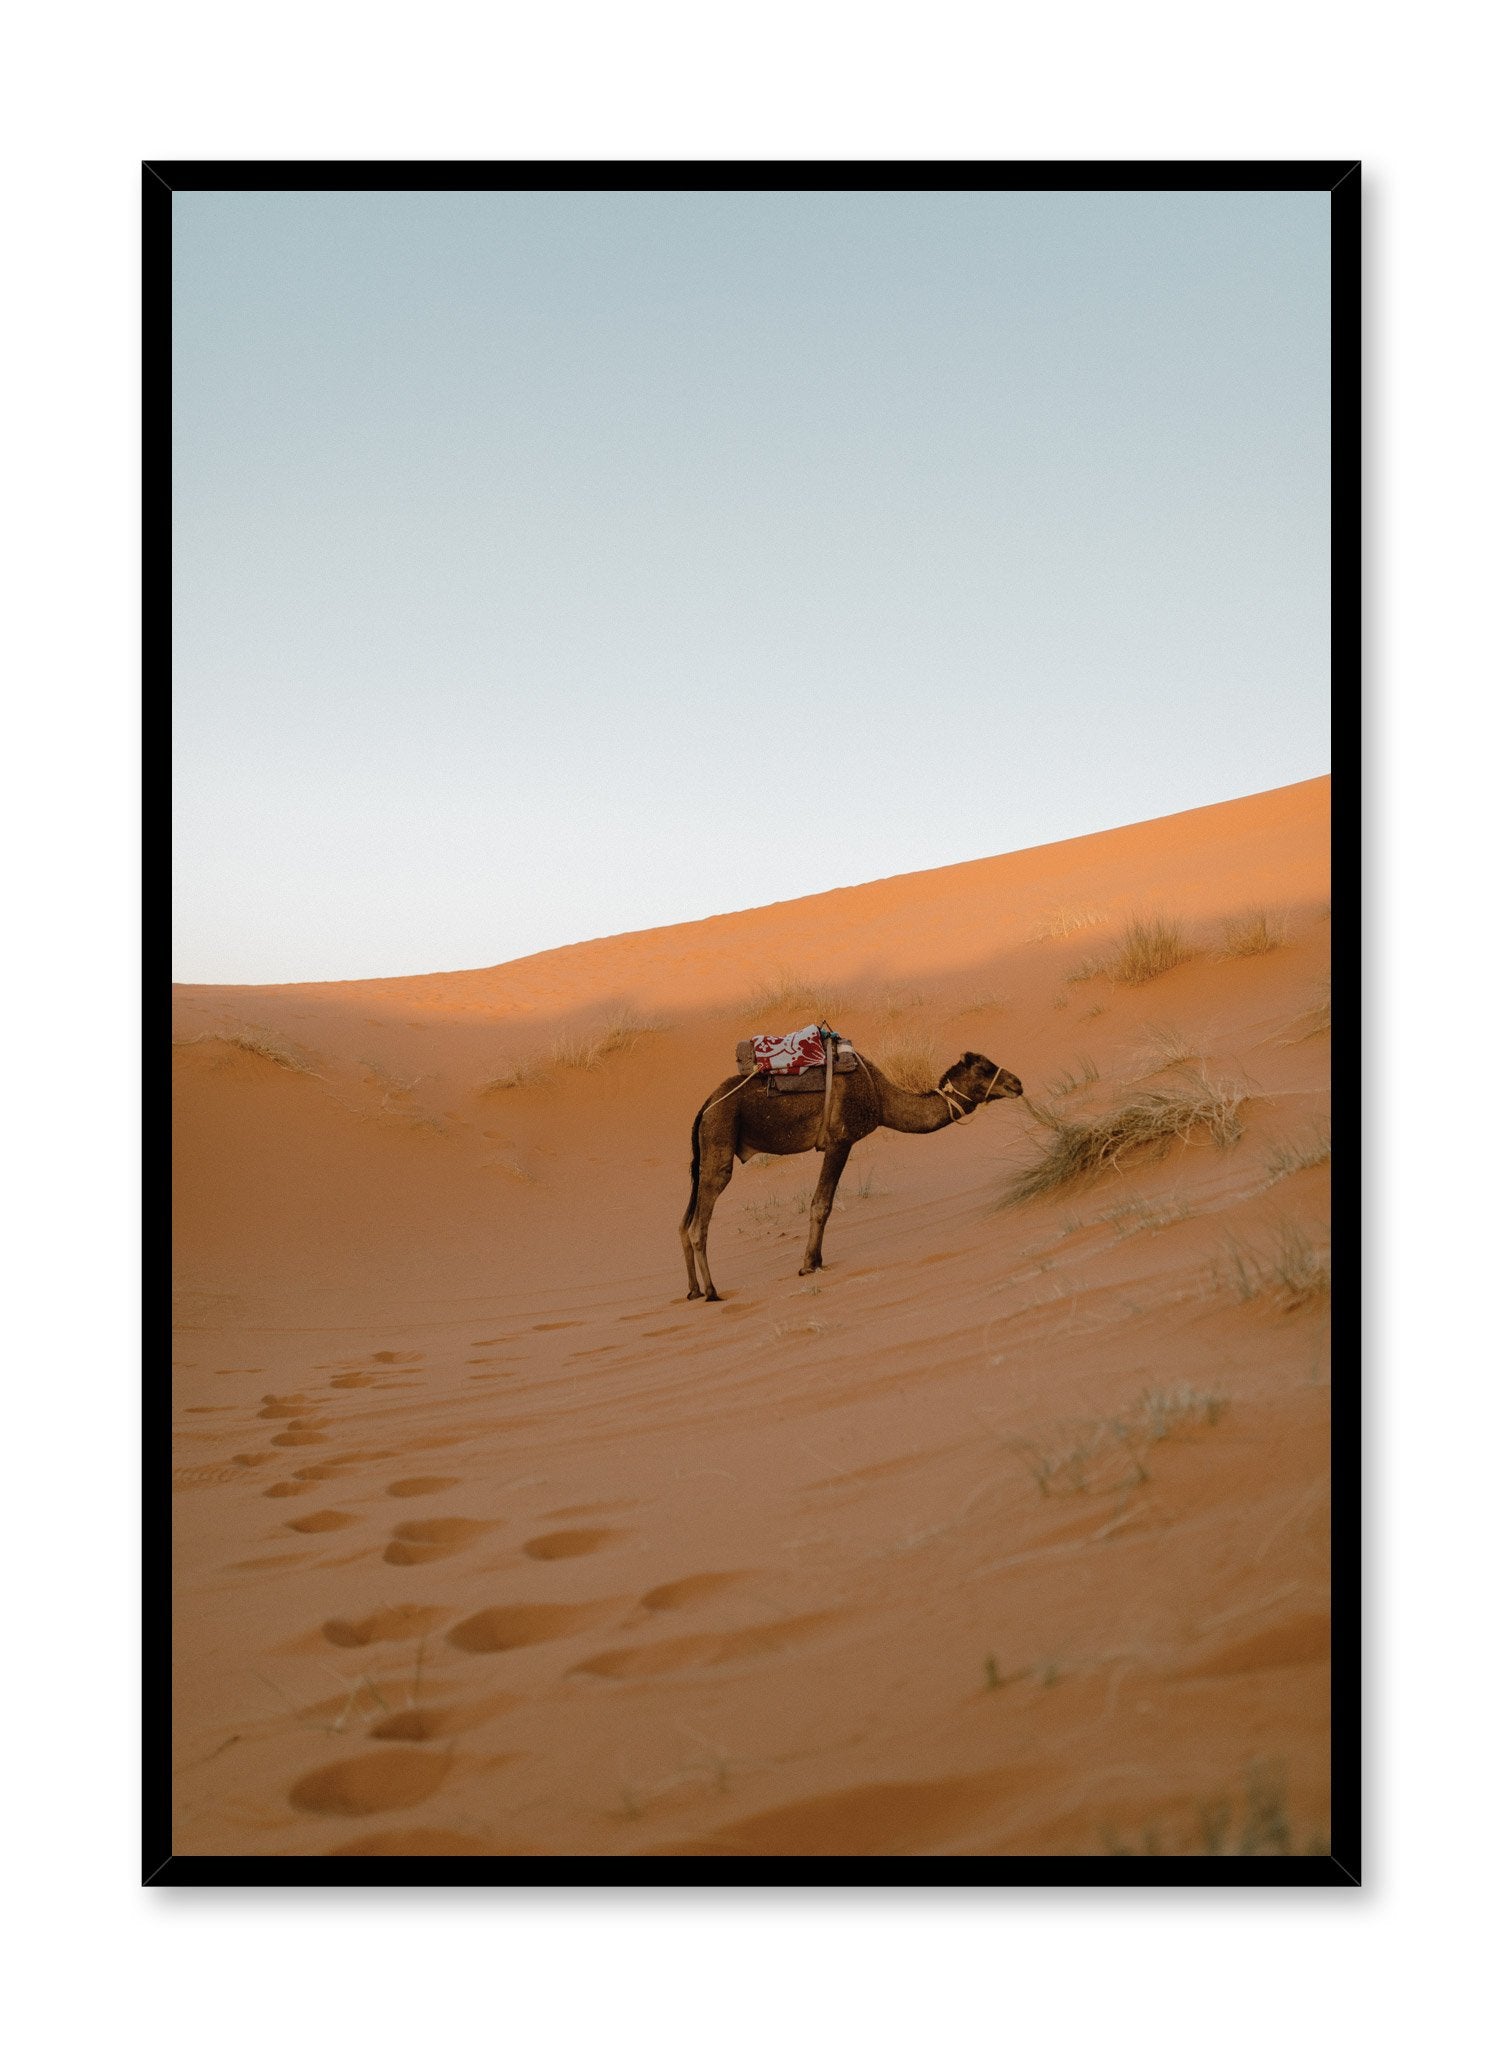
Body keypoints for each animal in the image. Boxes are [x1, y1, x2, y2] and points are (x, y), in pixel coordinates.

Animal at [679, 1048, 1023, 1302]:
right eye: (984, 1069)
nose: (1017, 1083)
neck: (881, 1099)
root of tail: (706, 1106)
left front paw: (814, 1260)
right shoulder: (840, 1140)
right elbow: (822, 1204)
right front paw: (809, 1265)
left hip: (704, 1150)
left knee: (684, 1223)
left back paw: (693, 1290)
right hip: (720, 1136)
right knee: (698, 1223)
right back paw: (712, 1291)